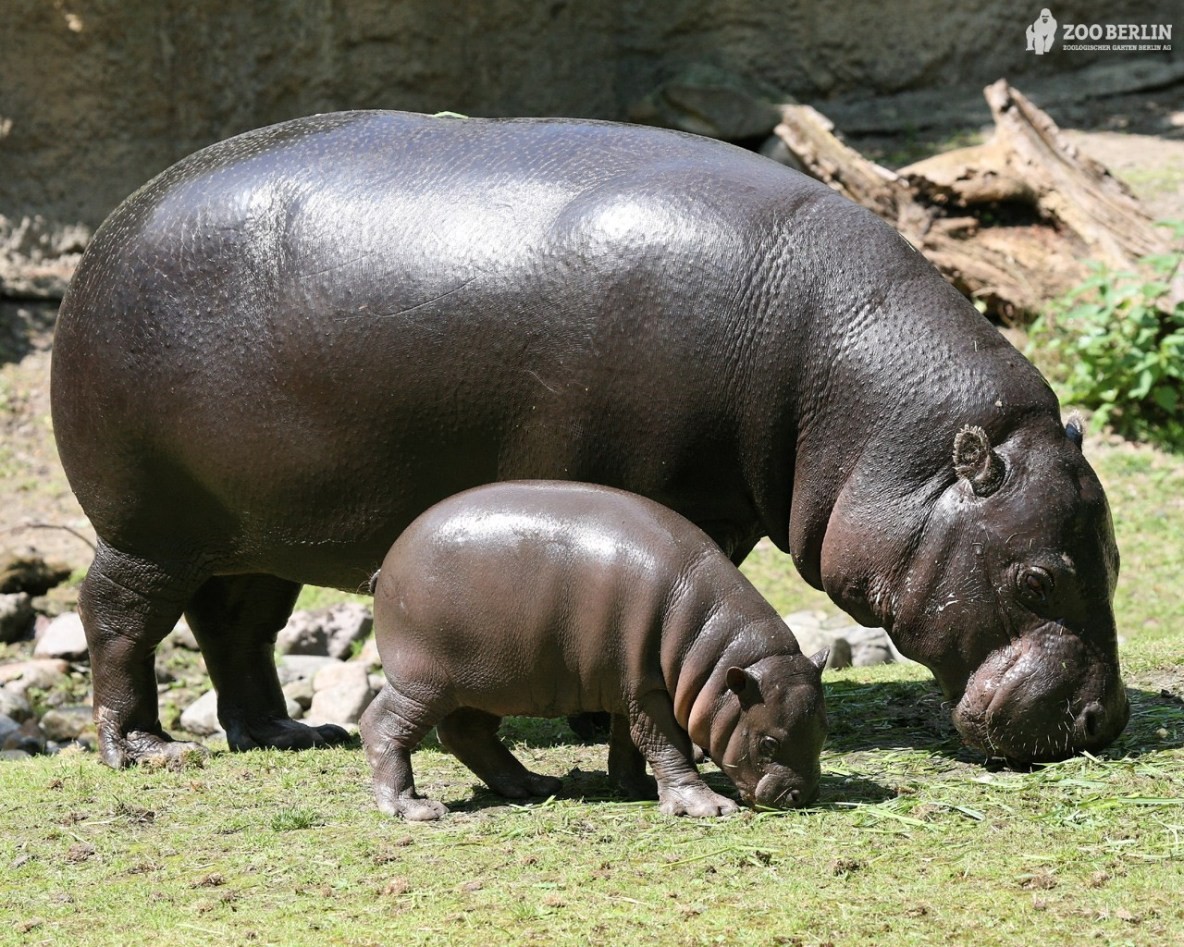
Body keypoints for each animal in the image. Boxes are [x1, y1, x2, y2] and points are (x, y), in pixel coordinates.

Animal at [50, 107, 1127, 767]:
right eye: (1036, 578)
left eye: (1111, 556)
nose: (1102, 719)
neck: (864, 412)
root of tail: (103, 233)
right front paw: (594, 718)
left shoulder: (716, 507)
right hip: (148, 523)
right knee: (119, 620)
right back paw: (145, 749)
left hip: (260, 527)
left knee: (236, 625)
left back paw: (282, 733)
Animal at [355, 480, 828, 819]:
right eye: (768, 742)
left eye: (822, 728)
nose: (799, 796)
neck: (715, 655)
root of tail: (383, 566)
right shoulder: (648, 691)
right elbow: (667, 744)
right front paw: (708, 807)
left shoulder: (633, 685)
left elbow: (631, 742)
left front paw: (636, 788)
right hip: (424, 680)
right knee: (382, 725)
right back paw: (415, 809)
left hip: (486, 684)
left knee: (465, 733)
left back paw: (535, 786)